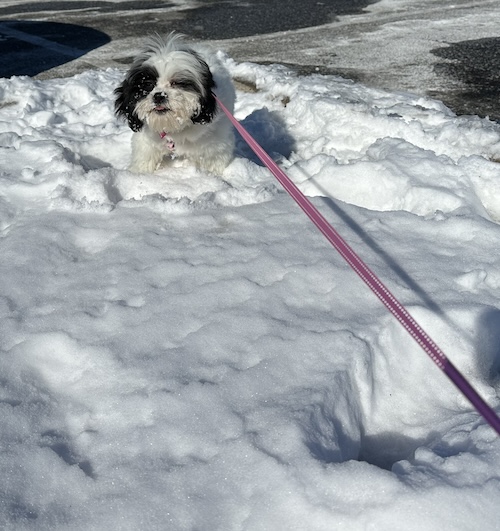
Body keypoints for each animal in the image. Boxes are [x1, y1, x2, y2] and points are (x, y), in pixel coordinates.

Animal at [115, 33, 236, 175]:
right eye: (148, 85)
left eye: (177, 83)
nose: (159, 96)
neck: (174, 128)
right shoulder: (147, 143)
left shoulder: (214, 145)